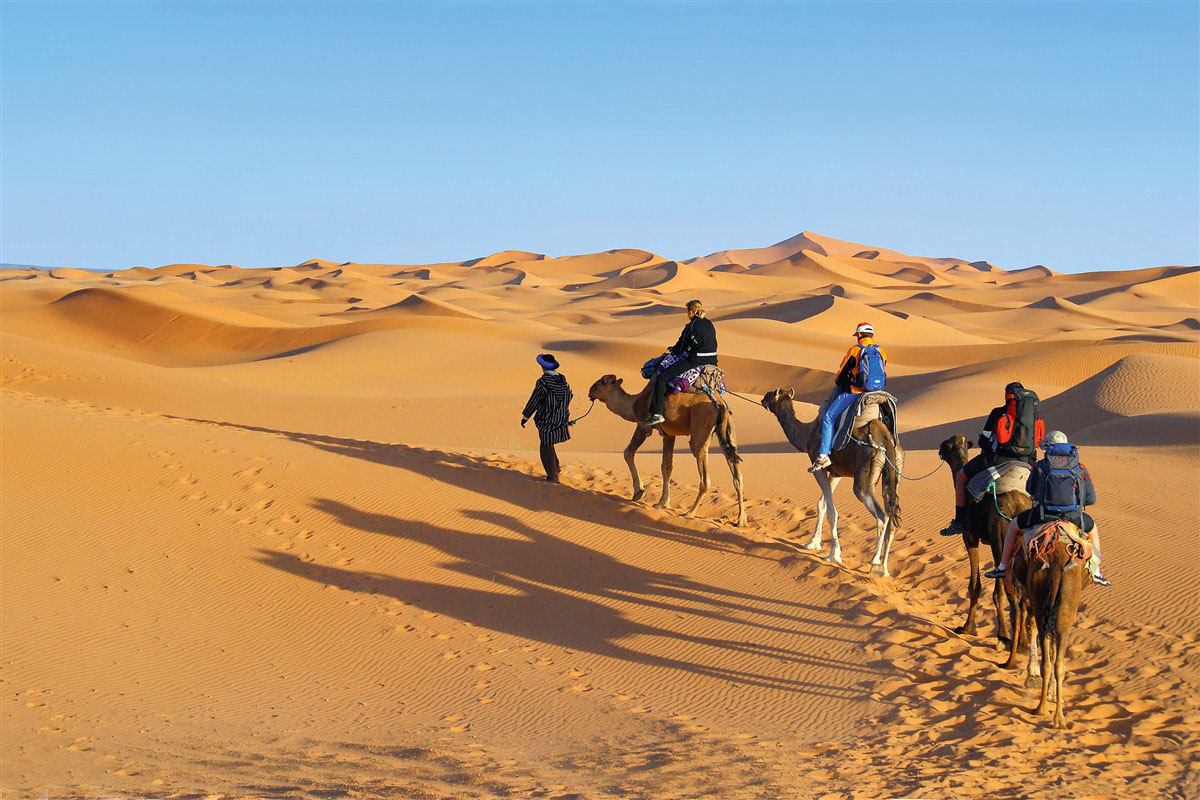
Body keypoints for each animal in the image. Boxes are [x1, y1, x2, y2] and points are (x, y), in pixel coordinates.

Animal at [588, 376, 744, 532]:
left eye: (599, 383)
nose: (589, 392)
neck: (633, 403)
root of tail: (720, 404)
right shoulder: (669, 434)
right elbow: (666, 466)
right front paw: (663, 503)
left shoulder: (643, 426)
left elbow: (628, 453)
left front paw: (639, 492)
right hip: (728, 430)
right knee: (737, 474)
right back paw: (741, 521)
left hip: (701, 427)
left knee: (704, 475)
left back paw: (689, 513)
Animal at [758, 388, 902, 575]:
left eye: (769, 394)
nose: (762, 400)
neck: (807, 435)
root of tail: (886, 439)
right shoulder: (836, 473)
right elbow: (822, 505)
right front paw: (813, 543)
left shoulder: (818, 468)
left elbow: (832, 512)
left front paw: (834, 555)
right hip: (893, 472)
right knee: (892, 515)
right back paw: (884, 569)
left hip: (864, 478)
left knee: (881, 515)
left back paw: (875, 563)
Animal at [936, 431, 1032, 642]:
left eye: (945, 444)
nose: (939, 450)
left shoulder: (970, 536)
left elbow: (975, 585)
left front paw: (967, 627)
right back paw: (1022, 641)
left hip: (1000, 539)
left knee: (1006, 592)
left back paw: (1007, 637)